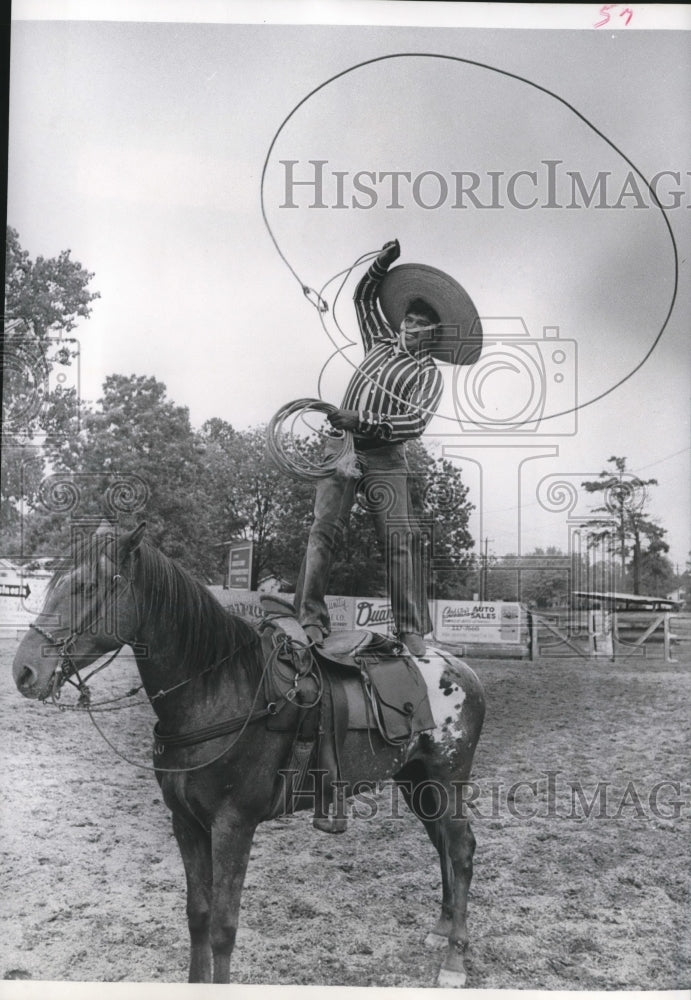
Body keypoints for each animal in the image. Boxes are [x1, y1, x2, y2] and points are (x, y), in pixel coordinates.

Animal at [10, 520, 486, 988]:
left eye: (86, 586)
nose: (24, 671)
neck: (218, 693)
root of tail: (462, 668)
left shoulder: (233, 825)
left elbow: (223, 928)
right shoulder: (185, 822)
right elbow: (198, 916)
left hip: (448, 779)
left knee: (461, 850)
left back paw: (454, 960)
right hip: (415, 780)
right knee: (441, 843)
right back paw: (442, 928)